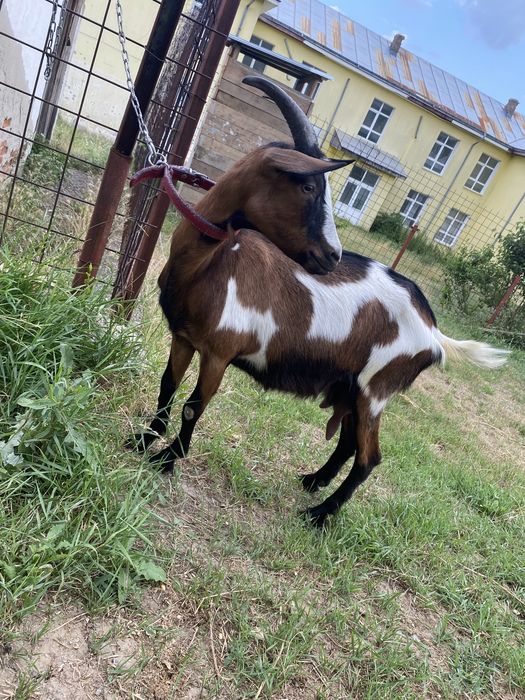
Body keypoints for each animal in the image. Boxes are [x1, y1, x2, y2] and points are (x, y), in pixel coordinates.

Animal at [129, 76, 509, 527]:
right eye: (308, 185)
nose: (333, 255)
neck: (208, 265)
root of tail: (433, 330)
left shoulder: (220, 351)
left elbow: (193, 406)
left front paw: (168, 459)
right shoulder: (183, 336)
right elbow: (167, 388)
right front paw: (142, 441)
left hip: (376, 389)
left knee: (369, 458)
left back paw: (319, 514)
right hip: (351, 386)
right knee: (348, 444)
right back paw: (313, 481)